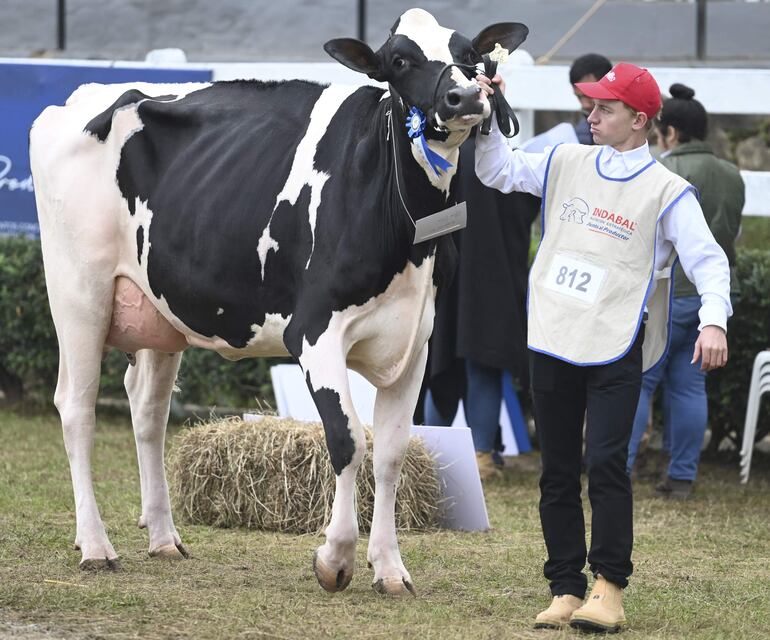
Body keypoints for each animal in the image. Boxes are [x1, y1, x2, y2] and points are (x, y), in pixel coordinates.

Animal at [27, 8, 524, 596]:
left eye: (472, 54)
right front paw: (335, 558)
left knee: (147, 410)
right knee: (76, 407)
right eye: (399, 61)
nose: (465, 95)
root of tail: (82, 94)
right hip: (78, 291)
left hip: (159, 310)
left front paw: (389, 567)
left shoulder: (415, 339)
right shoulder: (313, 331)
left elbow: (392, 453)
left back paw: (164, 538)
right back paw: (96, 546)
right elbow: (349, 439)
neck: (403, 220)